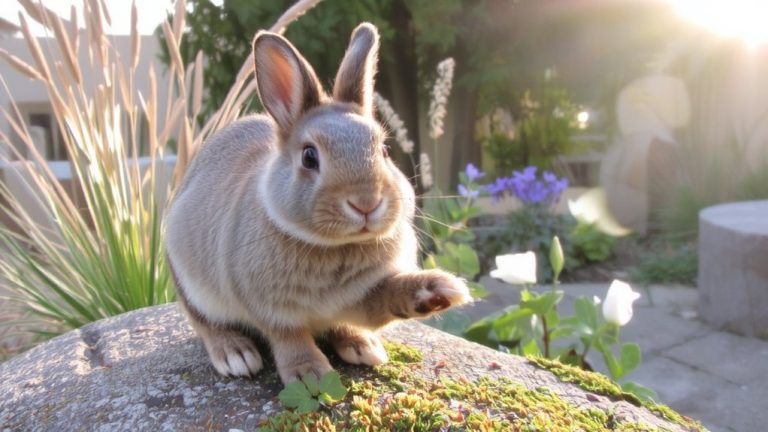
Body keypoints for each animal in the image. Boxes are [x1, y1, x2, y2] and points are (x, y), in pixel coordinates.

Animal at [164, 22, 472, 385]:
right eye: (309, 157)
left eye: (384, 150)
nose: (366, 203)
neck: (336, 247)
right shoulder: (271, 310)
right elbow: (289, 337)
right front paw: (311, 375)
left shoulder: (362, 297)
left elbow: (382, 302)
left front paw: (438, 291)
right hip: (190, 285)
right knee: (205, 324)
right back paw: (235, 354)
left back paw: (363, 346)